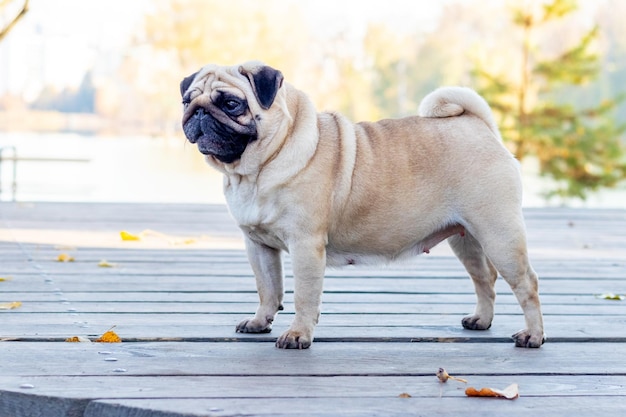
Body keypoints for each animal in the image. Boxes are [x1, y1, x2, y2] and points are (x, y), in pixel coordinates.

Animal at [179, 60, 540, 350]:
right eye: (186, 99)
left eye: (231, 104)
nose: (197, 111)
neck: (255, 171)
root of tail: (479, 125)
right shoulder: (258, 245)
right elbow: (268, 289)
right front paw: (259, 321)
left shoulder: (306, 246)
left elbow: (303, 296)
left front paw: (298, 335)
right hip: (467, 239)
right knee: (484, 279)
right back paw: (481, 320)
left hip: (499, 235)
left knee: (527, 284)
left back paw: (533, 336)